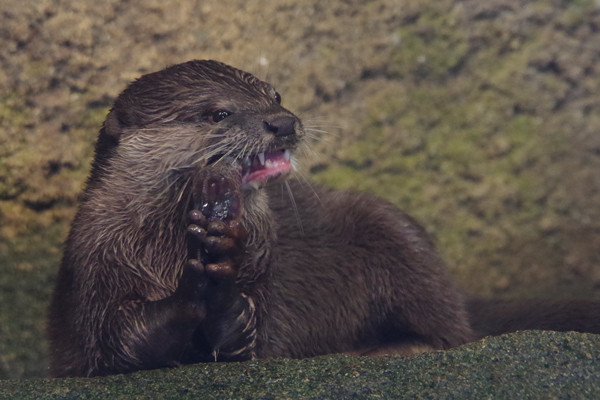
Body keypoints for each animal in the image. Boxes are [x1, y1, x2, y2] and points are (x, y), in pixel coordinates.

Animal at [48, 60, 600, 378]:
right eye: (218, 114)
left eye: (274, 95)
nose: (283, 122)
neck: (157, 250)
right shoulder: (93, 273)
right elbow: (116, 346)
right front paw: (197, 284)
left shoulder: (266, 273)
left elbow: (247, 341)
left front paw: (220, 282)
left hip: (393, 229)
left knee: (453, 332)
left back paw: (384, 350)